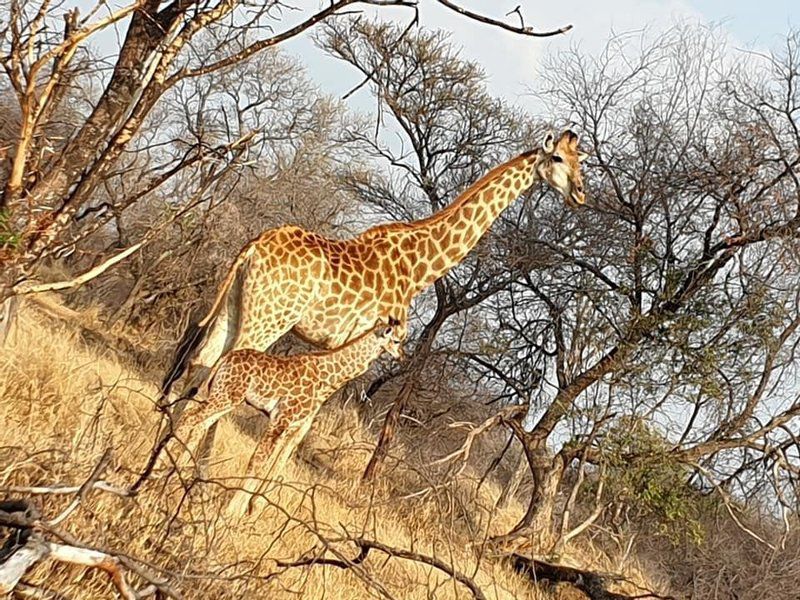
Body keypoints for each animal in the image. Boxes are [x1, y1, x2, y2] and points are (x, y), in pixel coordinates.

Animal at [162, 129, 588, 400]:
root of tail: (253, 247)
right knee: (213, 378)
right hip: (268, 318)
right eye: (556, 158)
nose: (581, 194)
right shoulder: (367, 342)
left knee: (195, 369)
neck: (420, 268)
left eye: (580, 162)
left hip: (233, 309)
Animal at [171, 318, 404, 516]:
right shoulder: (281, 419)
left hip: (225, 397)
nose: (402, 356)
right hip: (226, 396)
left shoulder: (289, 426)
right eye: (396, 340)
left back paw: (174, 470)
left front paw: (242, 513)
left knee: (198, 422)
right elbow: (257, 462)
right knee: (190, 418)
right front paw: (230, 514)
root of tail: (225, 359)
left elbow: (267, 466)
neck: (327, 378)